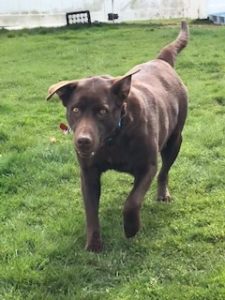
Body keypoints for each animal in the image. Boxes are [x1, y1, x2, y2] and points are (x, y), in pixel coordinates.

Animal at [47, 21, 188, 251]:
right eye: (75, 109)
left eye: (102, 111)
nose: (82, 141)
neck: (114, 140)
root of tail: (161, 60)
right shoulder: (88, 173)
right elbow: (91, 211)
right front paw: (93, 244)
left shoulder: (147, 166)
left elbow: (132, 202)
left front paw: (131, 229)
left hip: (175, 141)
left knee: (164, 171)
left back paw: (162, 194)